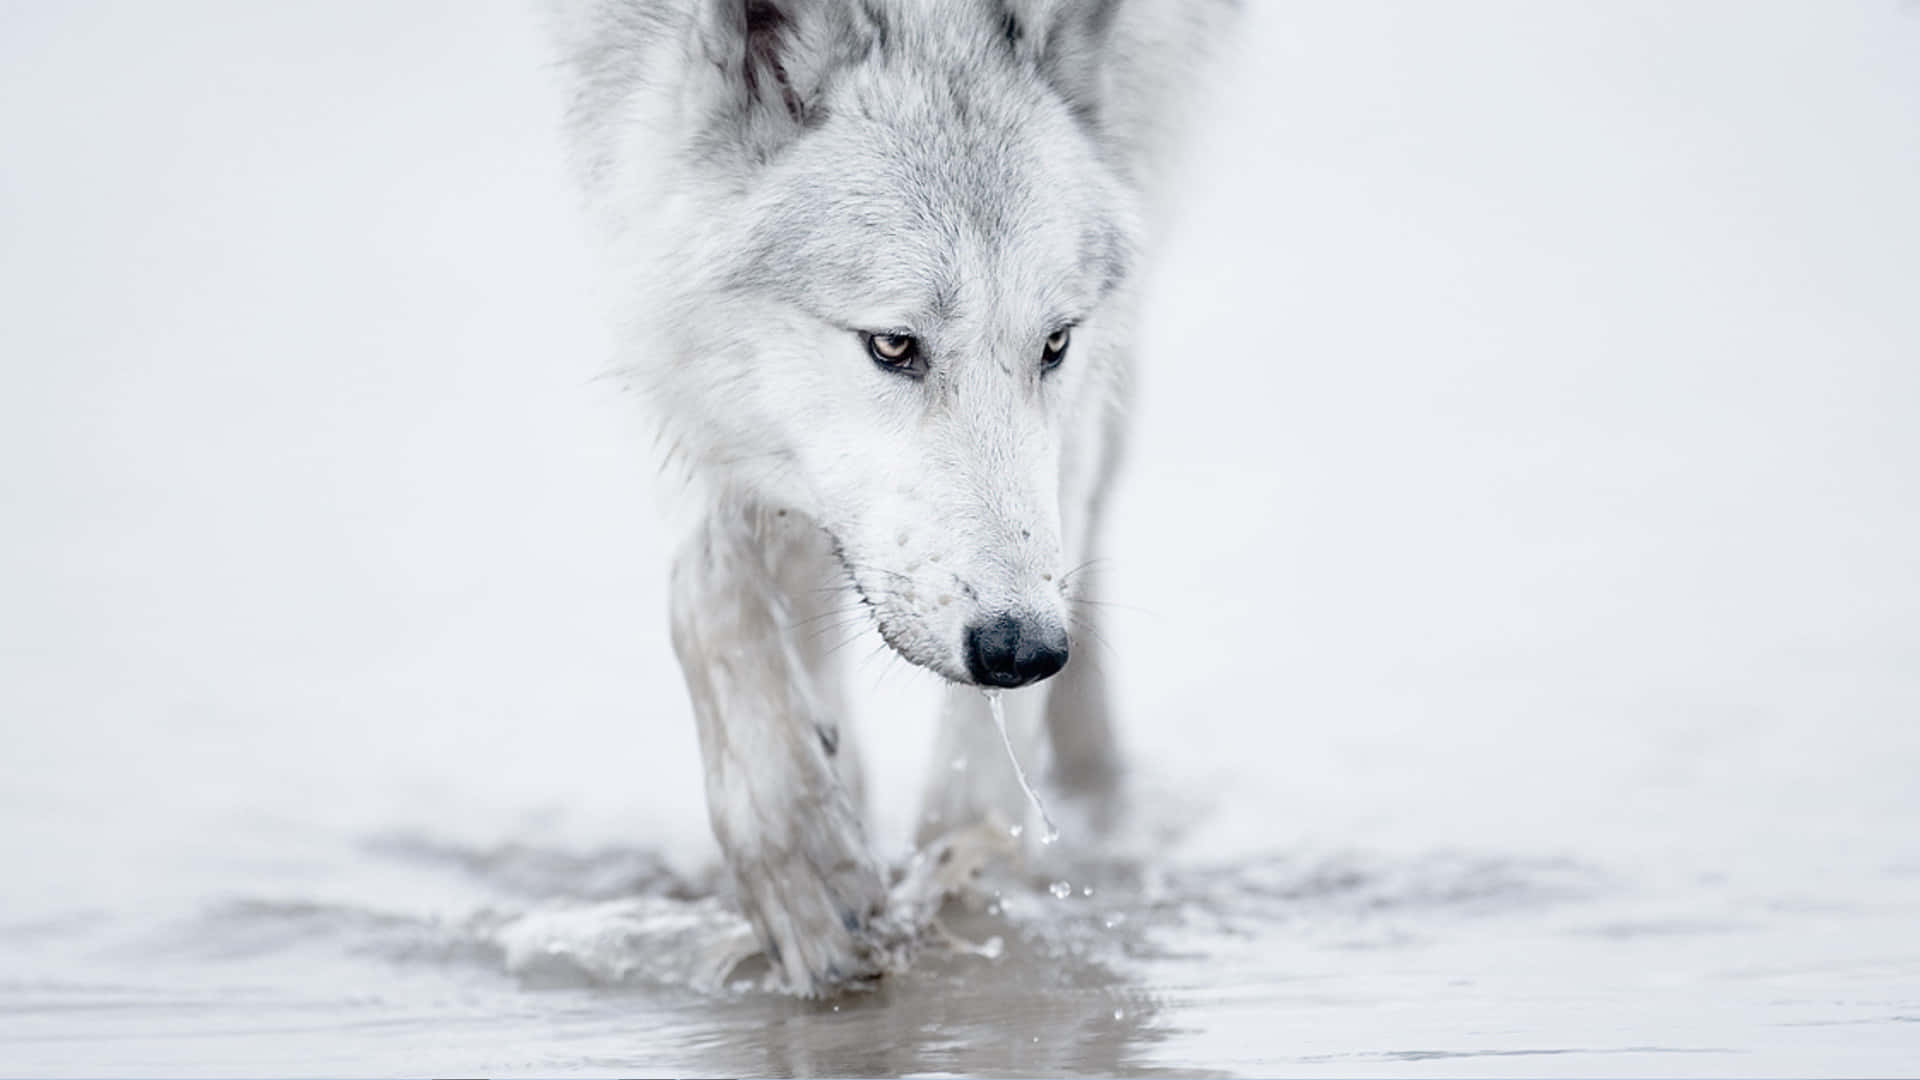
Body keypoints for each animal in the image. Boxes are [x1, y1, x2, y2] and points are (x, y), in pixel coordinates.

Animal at [545, 0, 1234, 994]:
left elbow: (975, 779)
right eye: (893, 345)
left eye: (1054, 343)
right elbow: (710, 582)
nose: (1023, 648)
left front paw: (961, 890)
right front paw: (805, 863)